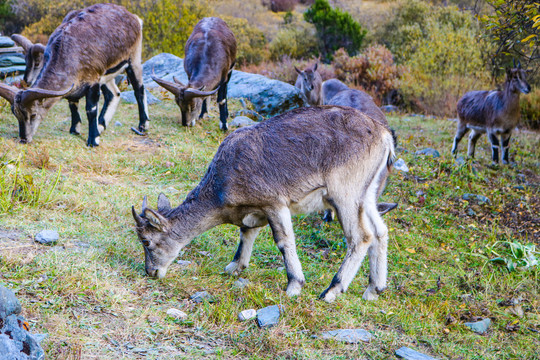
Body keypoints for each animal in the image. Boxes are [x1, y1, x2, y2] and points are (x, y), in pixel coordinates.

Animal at [0, 3, 149, 146]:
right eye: (16, 114)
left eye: (33, 115)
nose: (24, 139)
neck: (68, 53)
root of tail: (133, 17)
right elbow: (72, 104)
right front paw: (75, 130)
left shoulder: (93, 80)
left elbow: (91, 109)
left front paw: (93, 140)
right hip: (107, 73)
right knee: (114, 94)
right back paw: (101, 126)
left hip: (133, 58)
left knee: (139, 90)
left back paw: (142, 126)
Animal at [133, 105, 398, 302]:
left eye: (146, 240)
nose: (151, 272)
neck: (221, 188)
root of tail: (384, 136)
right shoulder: (255, 211)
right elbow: (246, 233)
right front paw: (234, 267)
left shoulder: (275, 203)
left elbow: (283, 241)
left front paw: (294, 285)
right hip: (367, 194)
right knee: (380, 231)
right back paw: (373, 289)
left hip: (345, 193)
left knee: (361, 236)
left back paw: (332, 290)